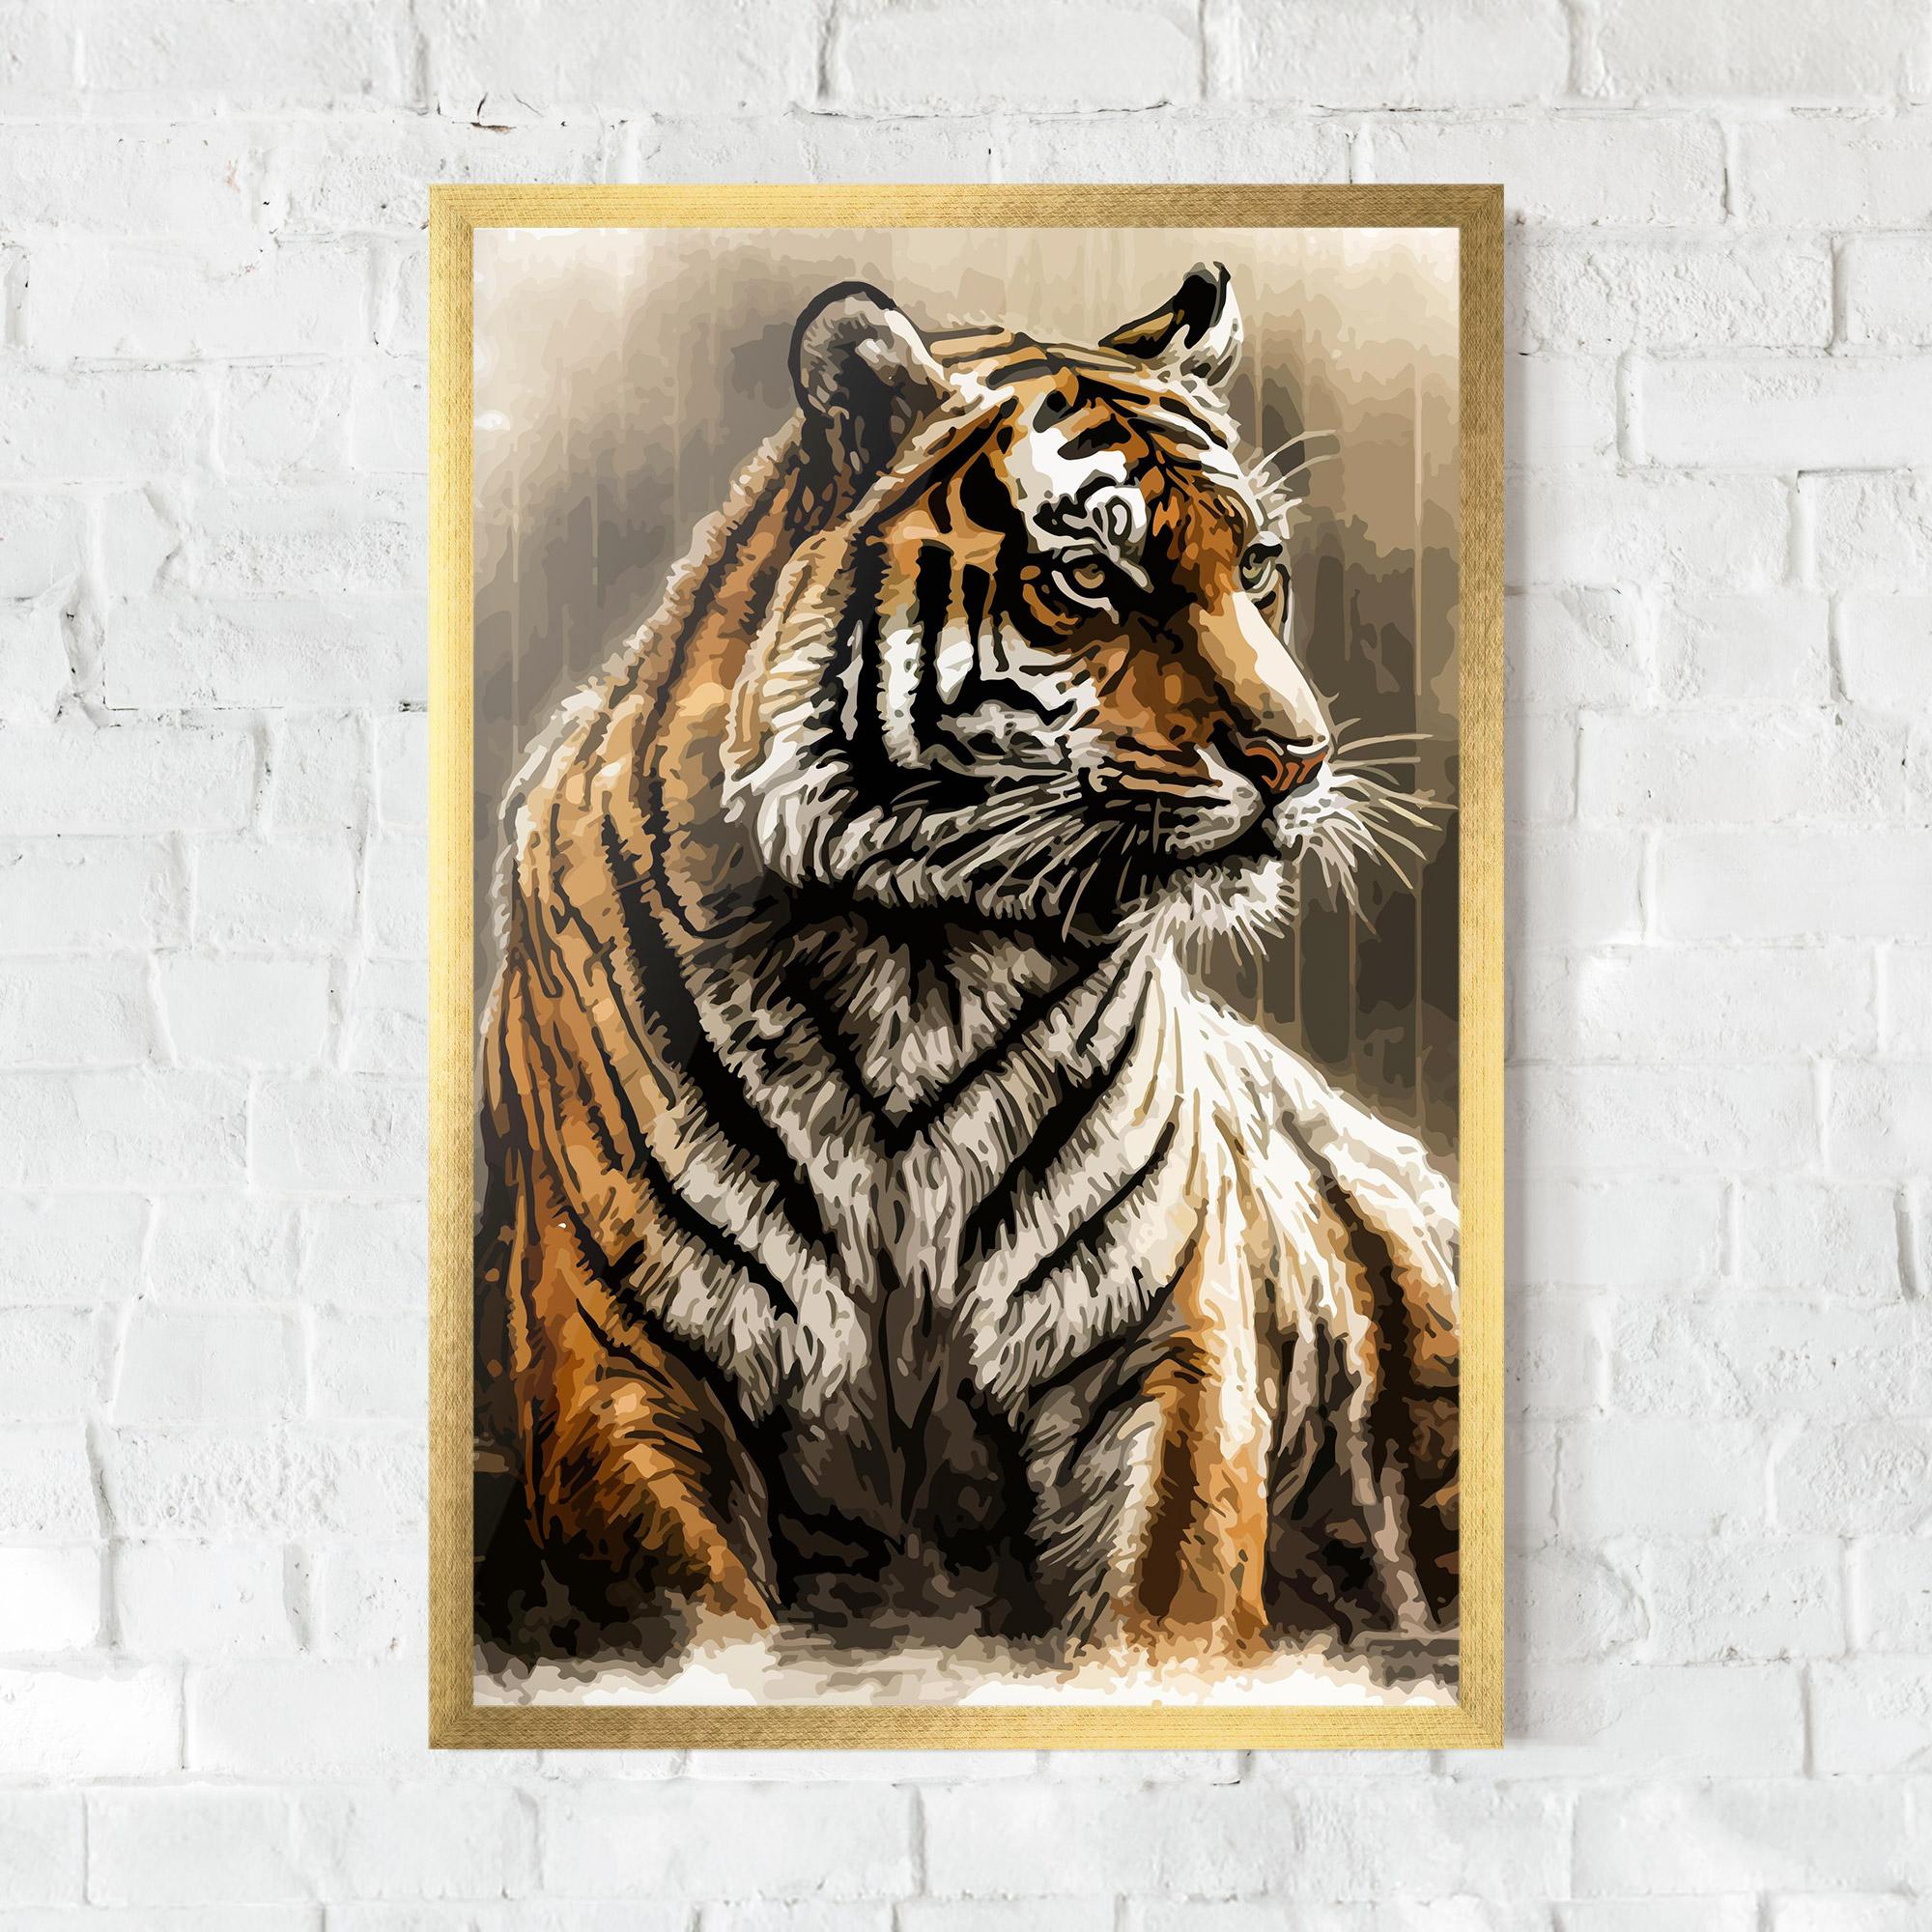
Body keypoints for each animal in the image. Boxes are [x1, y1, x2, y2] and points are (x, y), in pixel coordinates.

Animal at [474, 262, 1459, 1674]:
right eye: (1091, 576)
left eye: (1259, 567)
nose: (1297, 756)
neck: (919, 952)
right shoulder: (619, 1364)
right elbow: (704, 1621)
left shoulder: (1164, 1348)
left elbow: (1163, 1603)